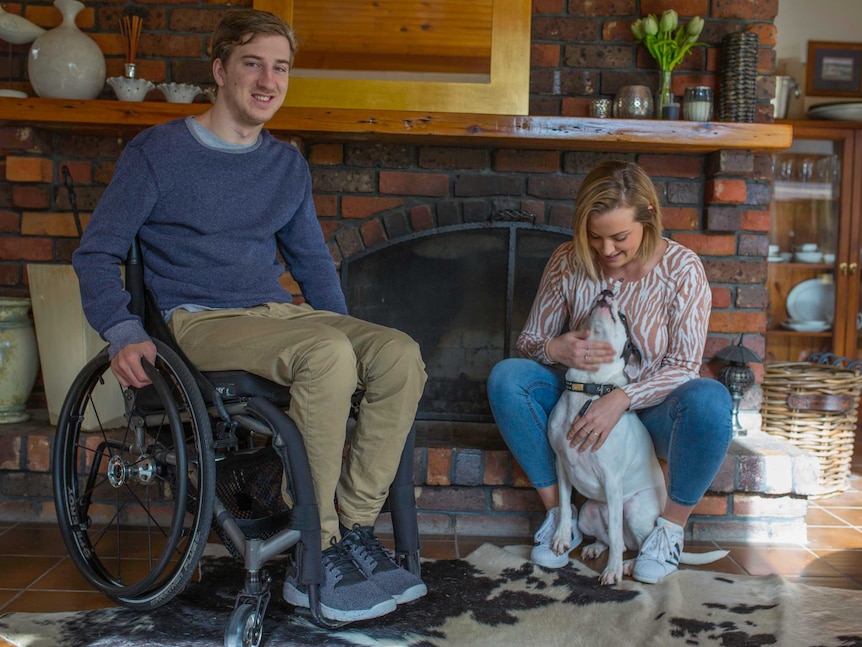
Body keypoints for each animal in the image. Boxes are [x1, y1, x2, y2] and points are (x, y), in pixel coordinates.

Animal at [548, 292, 728, 584]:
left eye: (623, 317)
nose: (608, 291)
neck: (588, 388)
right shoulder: (561, 465)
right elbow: (564, 506)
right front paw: (561, 538)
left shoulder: (611, 479)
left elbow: (614, 533)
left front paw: (612, 571)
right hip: (588, 512)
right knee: (617, 541)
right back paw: (596, 548)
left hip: (633, 510)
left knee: (632, 543)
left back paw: (631, 565)